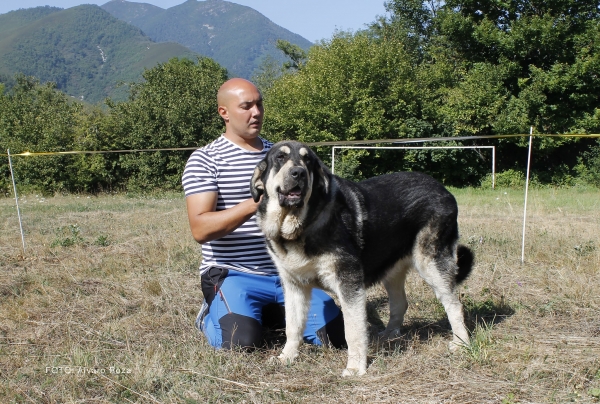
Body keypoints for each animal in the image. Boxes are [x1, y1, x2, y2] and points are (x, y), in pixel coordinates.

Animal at [248, 141, 474, 376]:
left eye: (307, 160)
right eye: (280, 158)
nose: (298, 173)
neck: (298, 227)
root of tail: (444, 190)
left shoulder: (349, 282)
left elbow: (353, 330)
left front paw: (356, 367)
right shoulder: (294, 285)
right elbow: (292, 325)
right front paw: (287, 357)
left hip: (431, 264)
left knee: (454, 306)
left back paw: (461, 344)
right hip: (393, 272)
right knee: (400, 304)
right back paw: (388, 336)